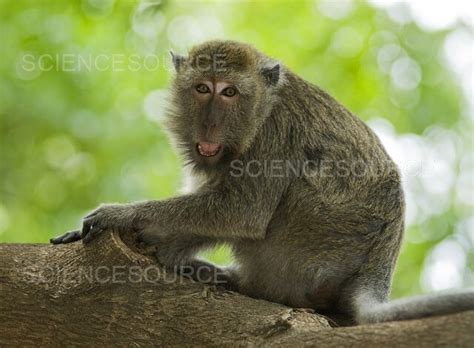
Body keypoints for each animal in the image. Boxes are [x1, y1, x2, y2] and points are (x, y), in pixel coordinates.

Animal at [50, 40, 472, 324]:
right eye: (202, 88)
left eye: (229, 92)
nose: (211, 124)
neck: (262, 106)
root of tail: (378, 266)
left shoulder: (274, 134)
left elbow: (243, 212)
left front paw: (120, 216)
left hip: (313, 245)